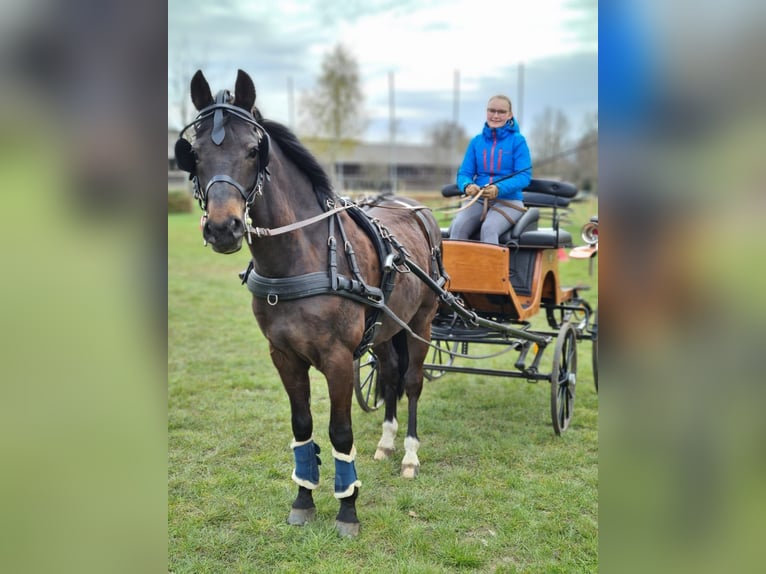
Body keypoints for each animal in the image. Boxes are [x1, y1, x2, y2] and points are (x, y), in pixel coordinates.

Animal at [174, 70, 444, 536]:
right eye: (194, 153)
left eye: (253, 150)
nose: (224, 228)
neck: (304, 255)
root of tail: (417, 209)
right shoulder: (283, 355)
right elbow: (302, 427)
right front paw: (303, 499)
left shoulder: (338, 359)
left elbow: (340, 432)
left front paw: (347, 508)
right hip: (384, 330)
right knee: (391, 373)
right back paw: (387, 442)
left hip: (422, 322)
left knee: (411, 381)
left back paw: (409, 453)